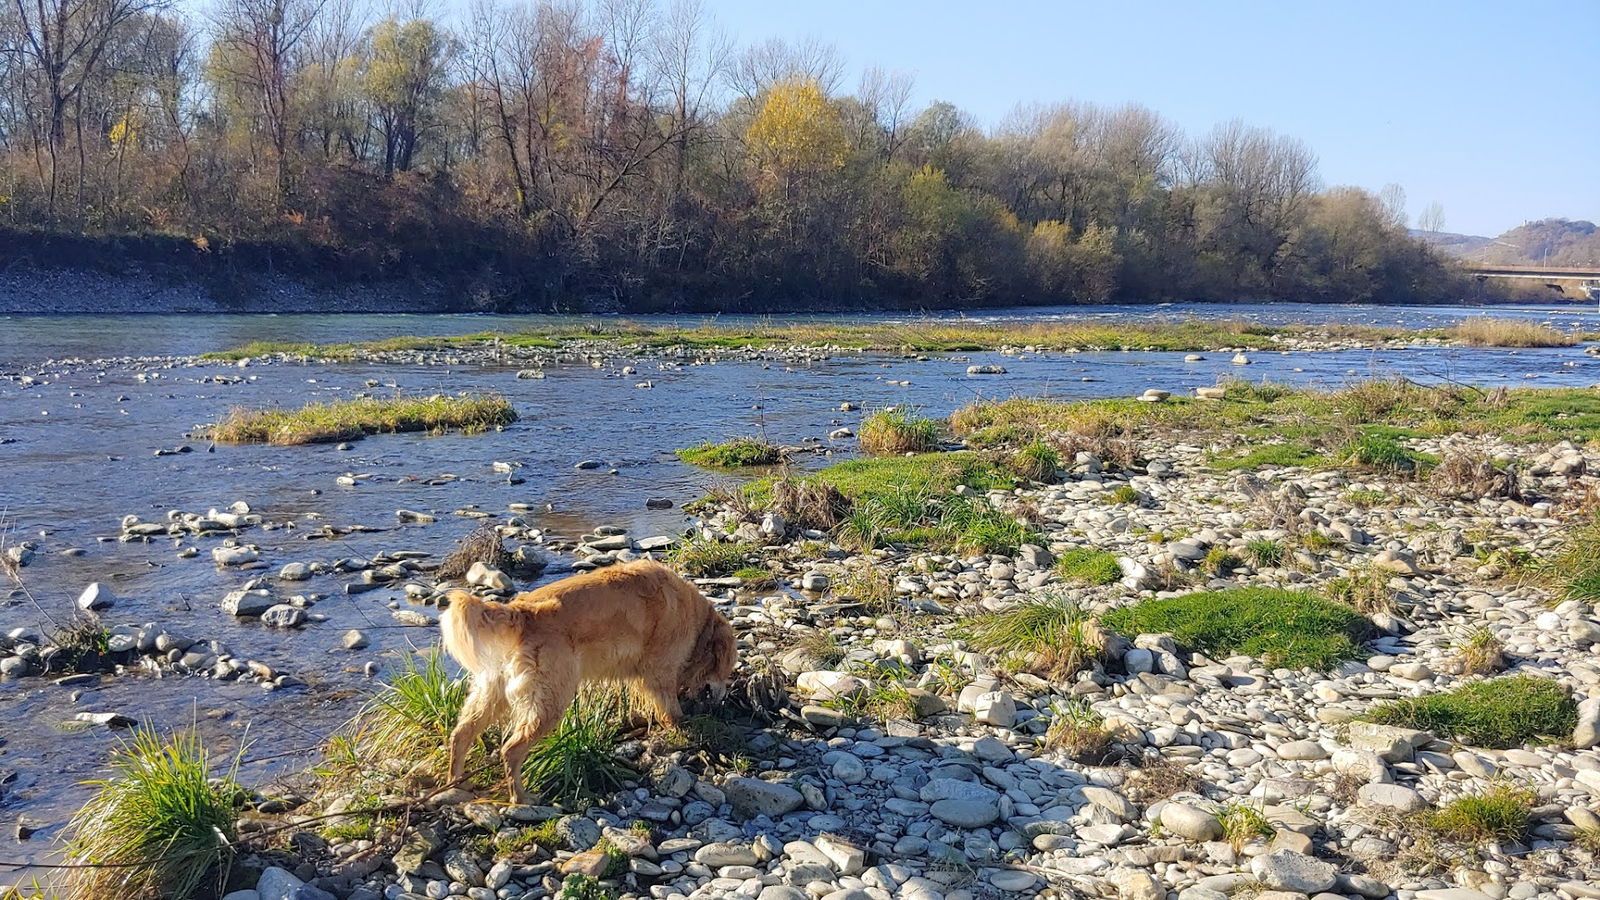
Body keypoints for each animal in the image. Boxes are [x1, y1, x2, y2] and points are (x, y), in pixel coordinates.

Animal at [438, 557, 736, 800]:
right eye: (729, 667)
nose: (724, 698)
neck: (697, 620)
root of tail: (522, 612)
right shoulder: (659, 671)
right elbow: (670, 709)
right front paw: (683, 727)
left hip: (492, 692)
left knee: (461, 734)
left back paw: (456, 783)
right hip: (550, 698)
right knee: (511, 749)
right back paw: (521, 797)